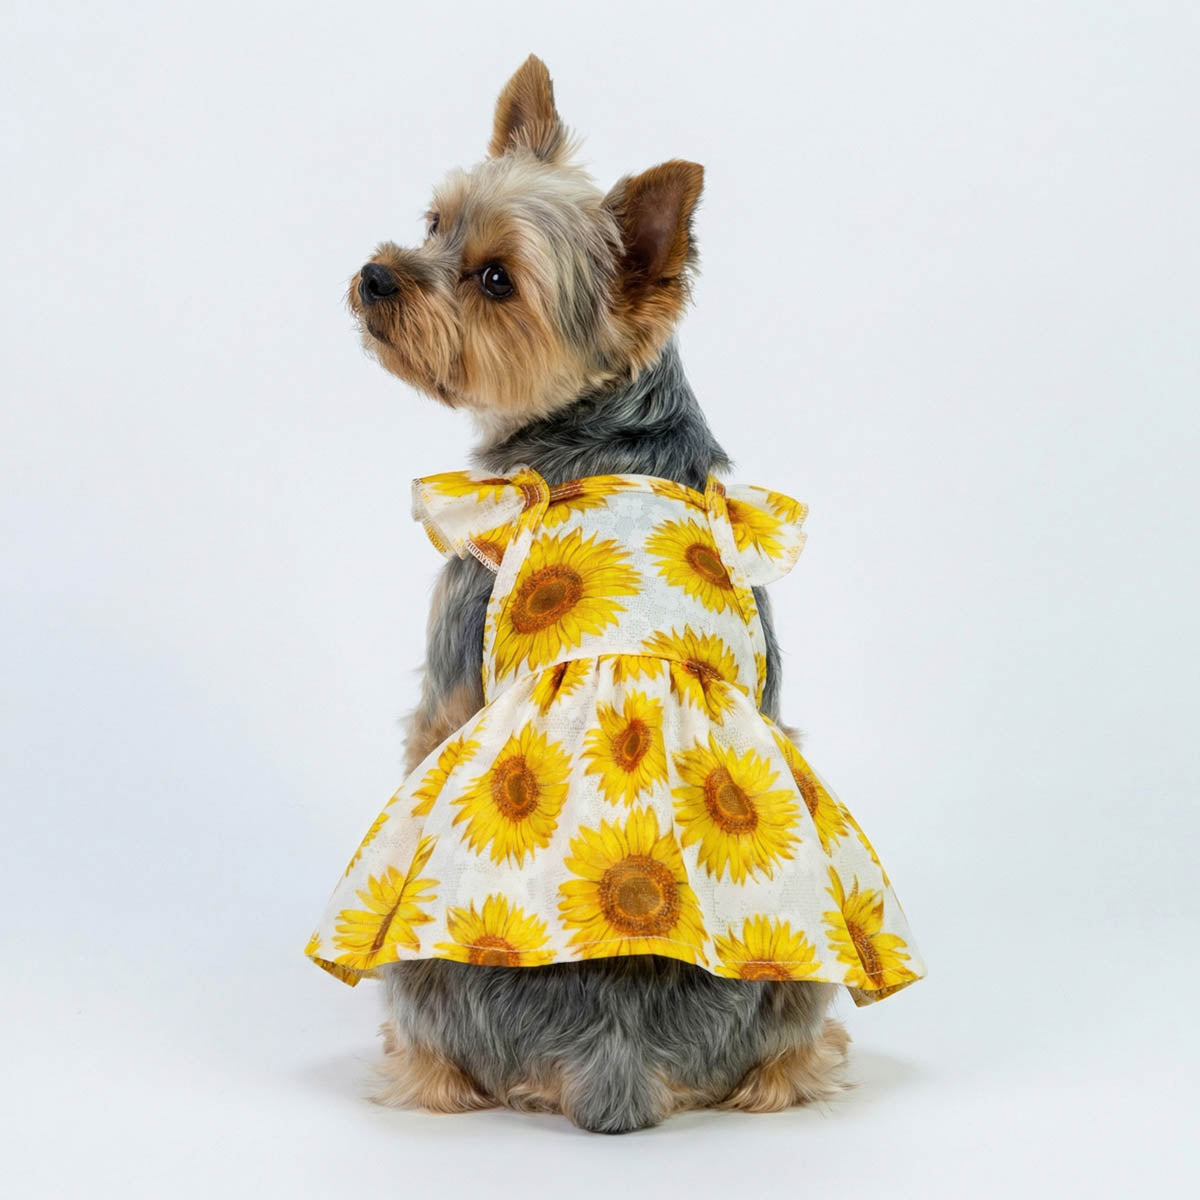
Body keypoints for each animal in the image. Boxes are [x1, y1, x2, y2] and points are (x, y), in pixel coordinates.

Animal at [345, 55, 851, 1133]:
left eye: (497, 280)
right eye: (435, 220)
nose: (377, 276)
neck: (603, 419)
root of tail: (616, 1056)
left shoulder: (453, 659)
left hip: (425, 976)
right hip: (798, 981)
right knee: (784, 1064)